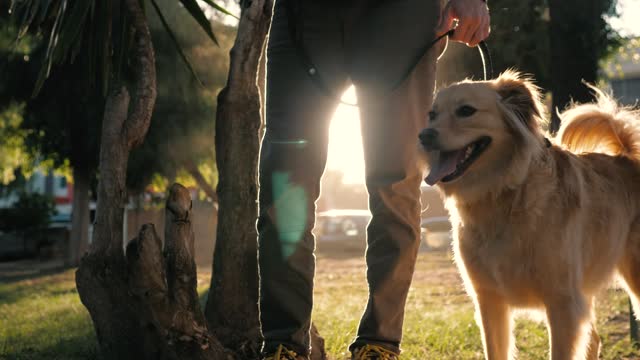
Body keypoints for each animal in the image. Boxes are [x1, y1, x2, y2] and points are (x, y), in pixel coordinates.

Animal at [418, 71, 640, 360]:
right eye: (432, 114)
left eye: (466, 111)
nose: (423, 136)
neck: (502, 193)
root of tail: (629, 160)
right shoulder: (490, 302)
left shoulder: (562, 303)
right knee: (594, 341)